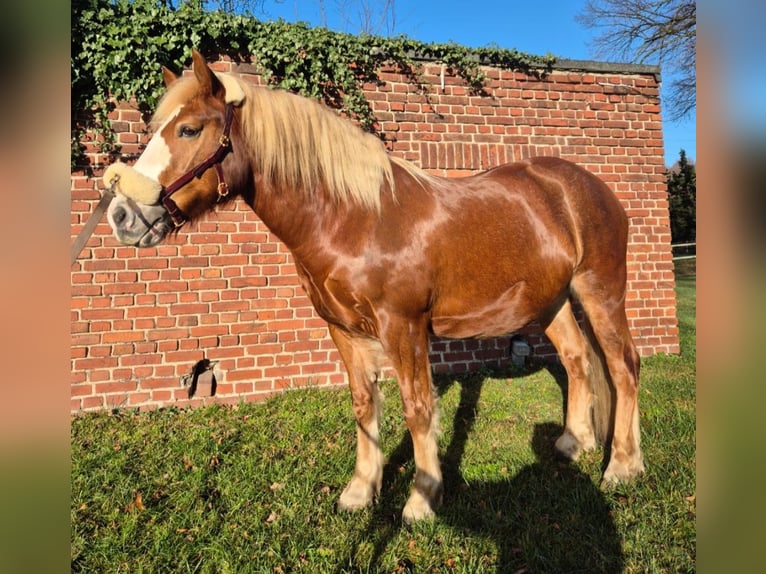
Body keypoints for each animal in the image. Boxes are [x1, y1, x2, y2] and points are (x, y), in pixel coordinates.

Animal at [104, 50, 644, 523]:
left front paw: (422, 500)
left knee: (623, 366)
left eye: (189, 129)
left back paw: (622, 465)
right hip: (551, 300)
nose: (121, 216)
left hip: (601, 292)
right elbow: (365, 406)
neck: (354, 219)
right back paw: (573, 443)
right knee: (577, 359)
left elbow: (418, 408)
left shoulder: (403, 328)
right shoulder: (344, 330)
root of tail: (588, 187)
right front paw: (361, 491)